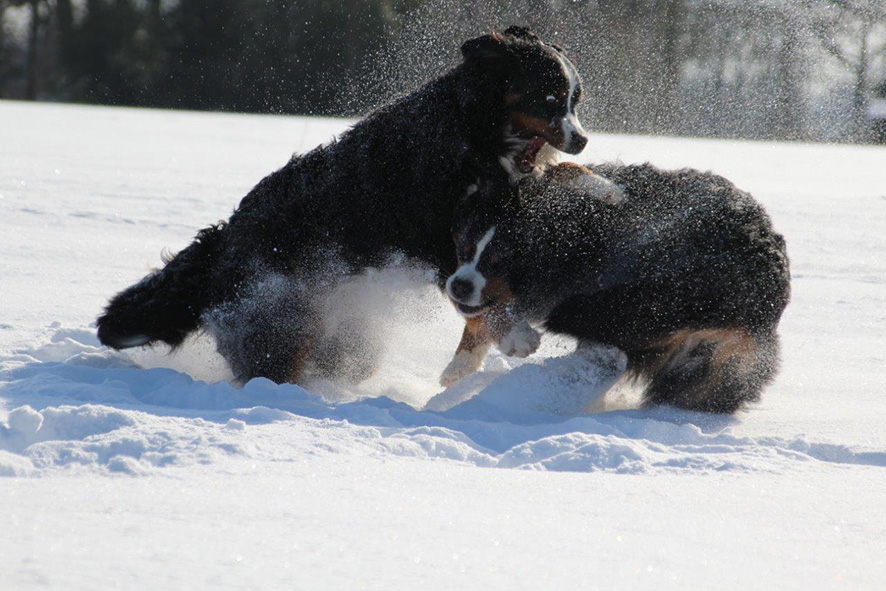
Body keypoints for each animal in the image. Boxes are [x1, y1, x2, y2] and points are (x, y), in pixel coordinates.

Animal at [96, 26, 590, 384]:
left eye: (575, 99)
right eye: (548, 98)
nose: (583, 139)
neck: (473, 133)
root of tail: (225, 237)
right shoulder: (436, 237)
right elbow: (478, 298)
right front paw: (515, 336)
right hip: (278, 312)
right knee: (270, 364)